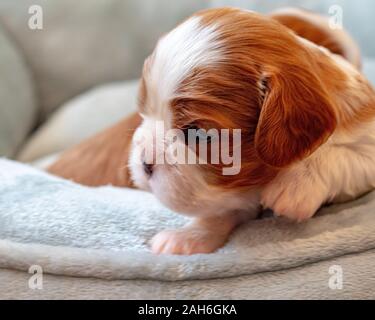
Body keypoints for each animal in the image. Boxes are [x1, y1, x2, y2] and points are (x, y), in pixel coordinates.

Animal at [49, 8, 375, 255]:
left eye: (199, 135)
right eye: (144, 112)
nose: (143, 163)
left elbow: (348, 155)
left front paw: (298, 183)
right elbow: (220, 211)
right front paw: (188, 238)